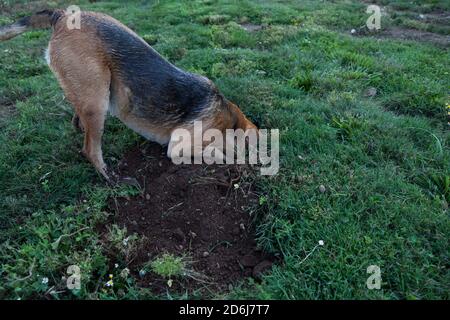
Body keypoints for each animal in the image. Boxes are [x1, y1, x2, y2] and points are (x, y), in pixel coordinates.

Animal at [0, 8, 256, 181]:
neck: (228, 114)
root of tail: (61, 14)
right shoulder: (179, 146)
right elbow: (217, 152)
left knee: (78, 119)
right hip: (97, 101)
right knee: (90, 149)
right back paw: (111, 178)